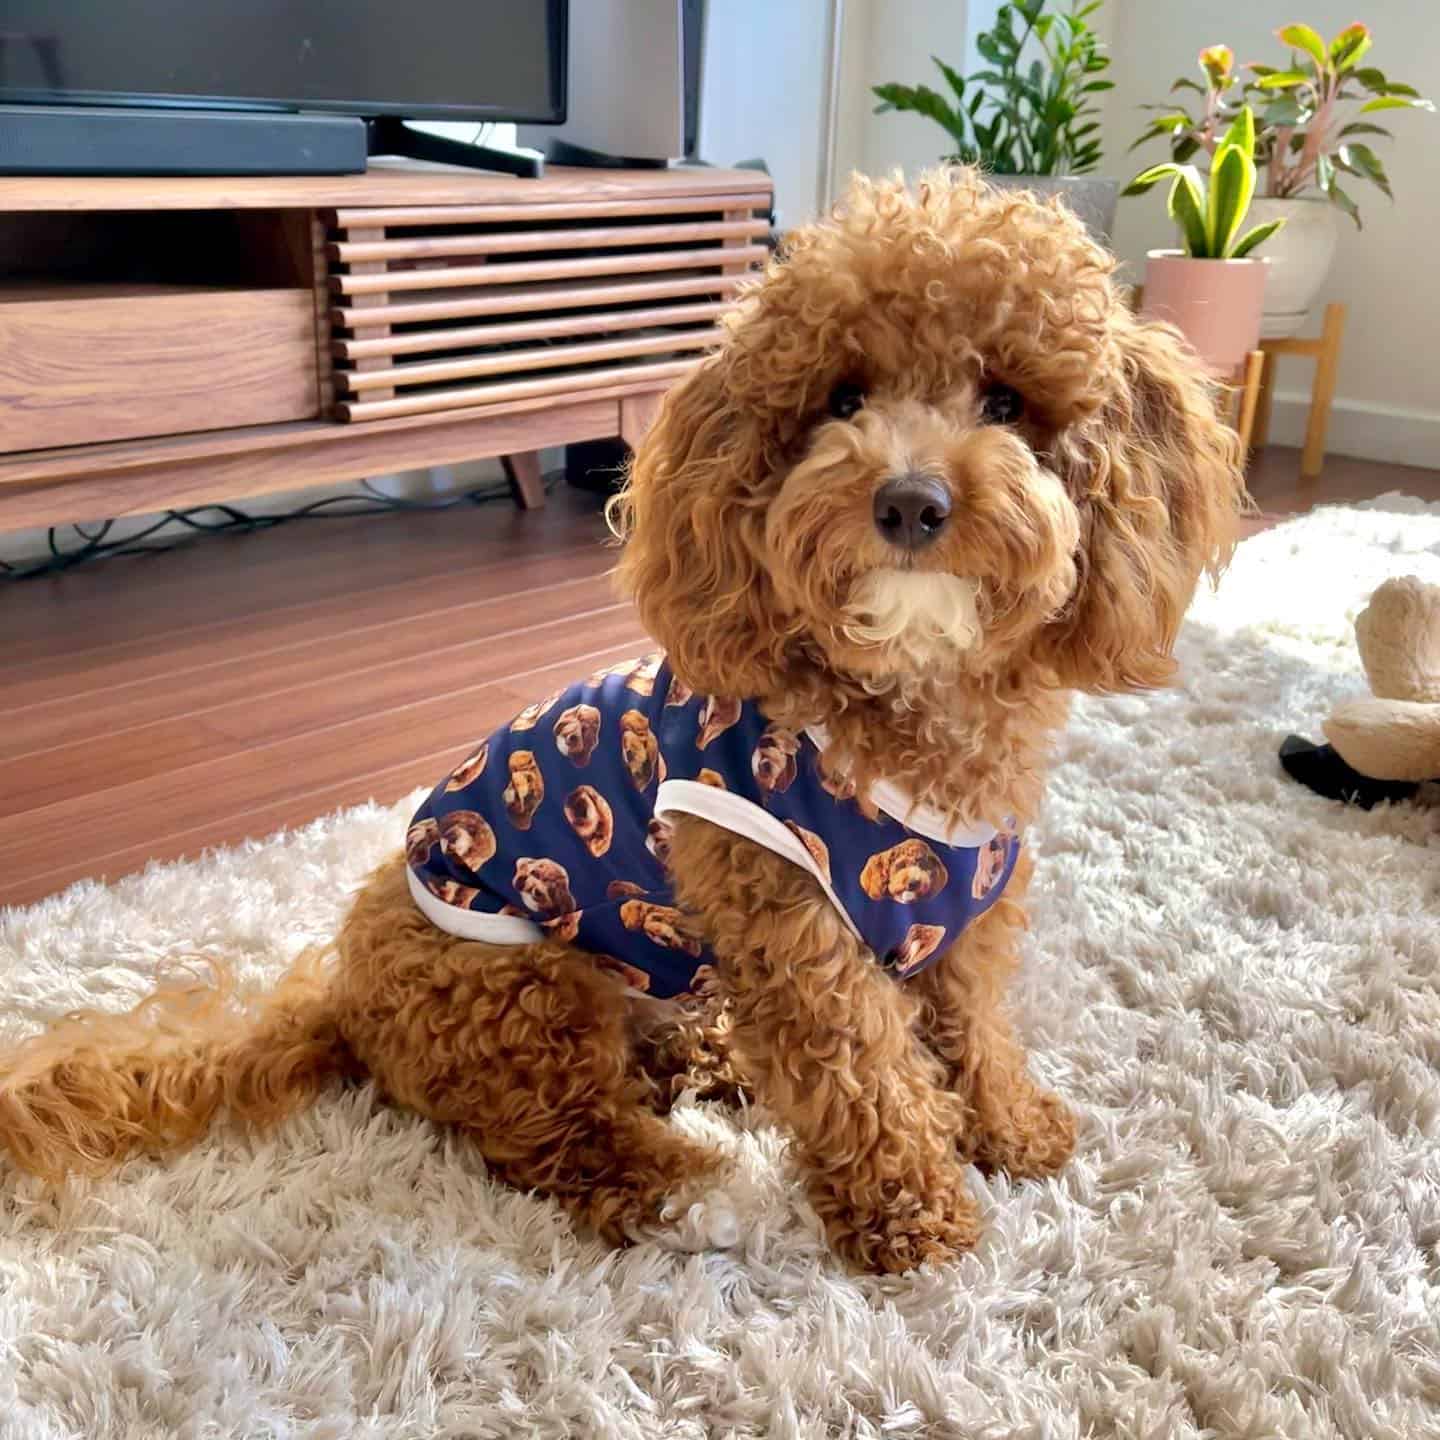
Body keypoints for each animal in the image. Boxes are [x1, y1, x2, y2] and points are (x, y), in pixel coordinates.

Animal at [0, 177, 1238, 1272]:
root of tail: (346, 1003)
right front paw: (916, 1215)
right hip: (525, 989)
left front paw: (1011, 1129)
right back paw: (691, 1188)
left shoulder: (967, 920)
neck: (908, 708)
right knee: (564, 1141)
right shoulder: (799, 938)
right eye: (842, 399)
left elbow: (974, 1034)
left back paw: (715, 1063)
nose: (910, 501)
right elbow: (870, 1084)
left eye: (1007, 402)